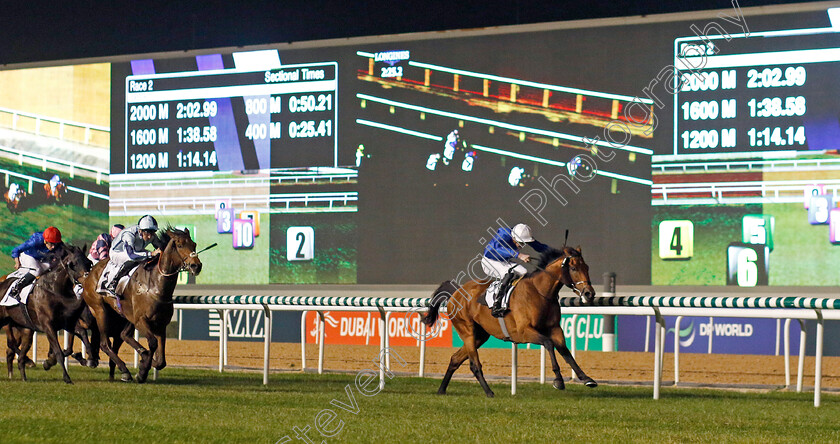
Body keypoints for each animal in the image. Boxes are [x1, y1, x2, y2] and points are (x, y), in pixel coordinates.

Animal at [0, 245, 92, 384]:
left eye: (88, 262)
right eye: (73, 264)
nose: (86, 281)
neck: (54, 290)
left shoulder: (66, 322)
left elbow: (81, 335)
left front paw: (89, 359)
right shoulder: (48, 326)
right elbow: (59, 352)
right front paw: (66, 377)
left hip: (25, 329)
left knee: (16, 349)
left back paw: (24, 372)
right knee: (12, 344)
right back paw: (28, 362)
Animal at [81, 227, 203, 384]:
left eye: (194, 245)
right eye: (180, 245)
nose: (196, 266)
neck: (155, 285)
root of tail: (89, 274)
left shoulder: (160, 324)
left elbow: (161, 360)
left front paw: (145, 363)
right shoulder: (141, 320)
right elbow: (152, 343)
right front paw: (142, 371)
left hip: (124, 315)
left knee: (123, 335)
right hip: (100, 310)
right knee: (105, 344)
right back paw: (125, 371)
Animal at [426, 248, 596, 398]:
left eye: (587, 267)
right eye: (573, 268)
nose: (589, 293)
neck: (540, 292)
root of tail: (456, 292)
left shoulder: (554, 328)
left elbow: (565, 351)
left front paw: (586, 378)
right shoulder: (524, 332)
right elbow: (548, 343)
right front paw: (558, 381)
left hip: (480, 336)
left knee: (455, 359)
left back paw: (441, 390)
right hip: (467, 331)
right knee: (474, 365)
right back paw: (489, 392)